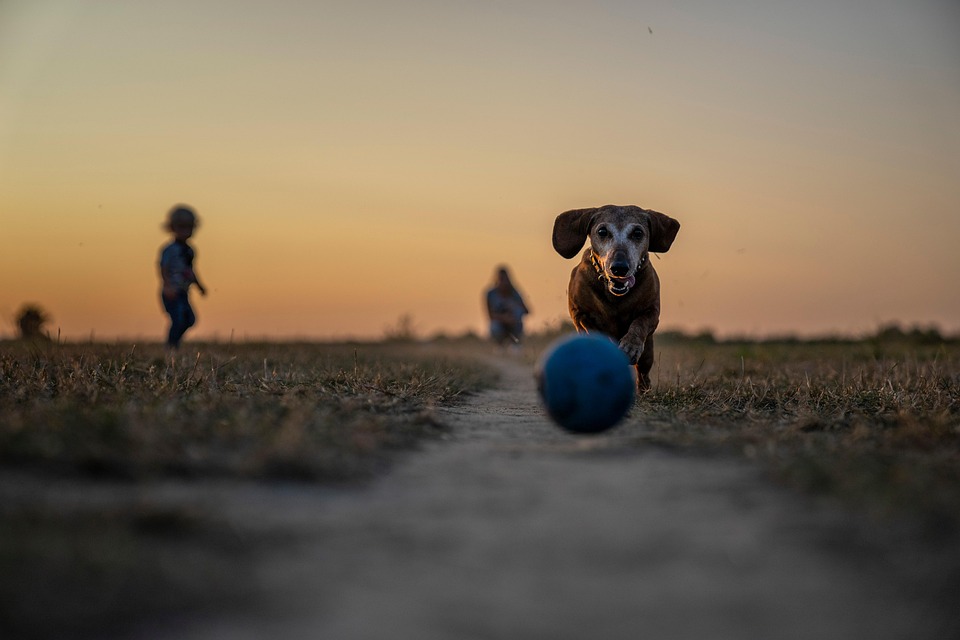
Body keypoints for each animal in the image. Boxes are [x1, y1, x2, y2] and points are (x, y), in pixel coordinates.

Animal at [552, 204, 680, 390]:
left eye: (637, 233)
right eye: (602, 231)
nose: (619, 267)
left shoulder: (652, 311)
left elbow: (640, 324)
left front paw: (630, 346)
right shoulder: (579, 312)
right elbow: (591, 327)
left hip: (647, 353)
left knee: (643, 371)